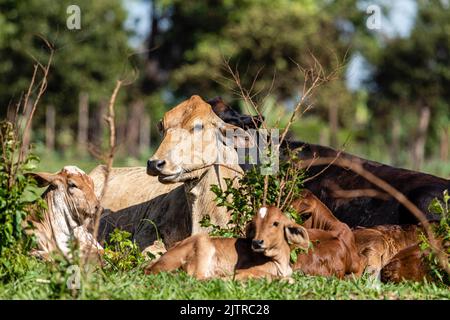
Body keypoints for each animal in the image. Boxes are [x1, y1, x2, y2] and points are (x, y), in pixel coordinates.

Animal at [145, 206, 310, 282]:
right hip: (203, 243)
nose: (257, 242)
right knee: (197, 277)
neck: (280, 262)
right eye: (254, 225)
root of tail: (151, 267)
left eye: (275, 223)